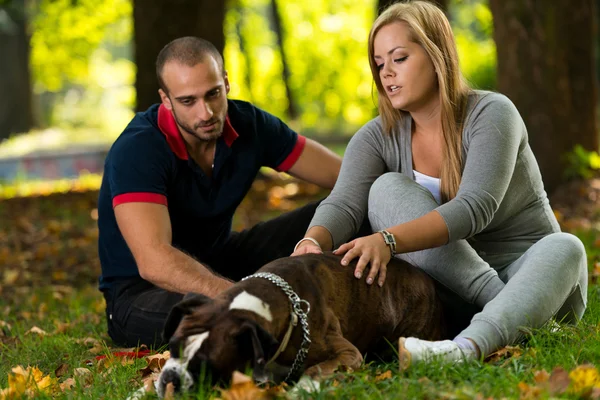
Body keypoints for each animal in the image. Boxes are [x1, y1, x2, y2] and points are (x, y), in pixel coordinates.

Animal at [155, 252, 446, 396]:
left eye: (206, 366)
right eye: (172, 346)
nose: (170, 380)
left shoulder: (348, 353)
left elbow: (314, 371)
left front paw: (302, 389)